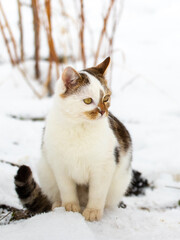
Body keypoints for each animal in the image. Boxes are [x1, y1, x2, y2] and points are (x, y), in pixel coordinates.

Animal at [14, 56, 132, 221]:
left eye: (106, 98)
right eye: (88, 101)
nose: (103, 112)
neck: (78, 128)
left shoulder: (103, 167)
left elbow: (97, 192)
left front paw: (93, 211)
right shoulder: (59, 165)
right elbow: (67, 189)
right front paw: (70, 207)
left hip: (120, 181)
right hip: (45, 171)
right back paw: (58, 204)